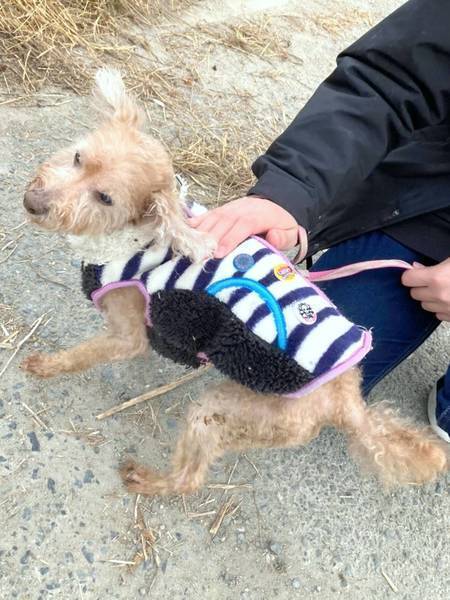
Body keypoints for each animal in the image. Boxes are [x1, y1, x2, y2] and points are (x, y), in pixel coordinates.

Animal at [21, 69, 448, 497]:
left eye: (105, 198)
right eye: (79, 157)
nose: (34, 202)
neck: (134, 236)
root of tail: (346, 401)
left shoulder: (127, 330)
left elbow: (88, 353)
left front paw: (45, 365)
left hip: (226, 410)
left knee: (190, 478)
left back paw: (147, 480)